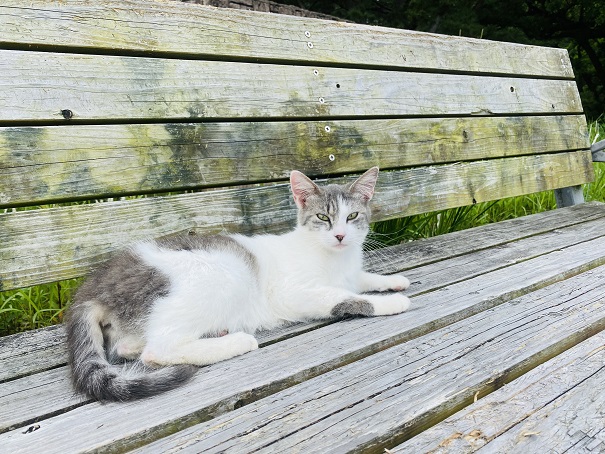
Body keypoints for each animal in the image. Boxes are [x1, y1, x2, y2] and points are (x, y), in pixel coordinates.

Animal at [67, 167, 410, 400]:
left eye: (352, 216)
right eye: (323, 218)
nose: (339, 236)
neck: (335, 259)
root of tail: (94, 284)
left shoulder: (350, 272)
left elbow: (360, 280)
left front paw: (393, 280)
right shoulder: (292, 294)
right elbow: (344, 297)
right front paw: (391, 302)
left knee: (130, 344)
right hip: (220, 274)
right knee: (158, 348)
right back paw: (237, 341)